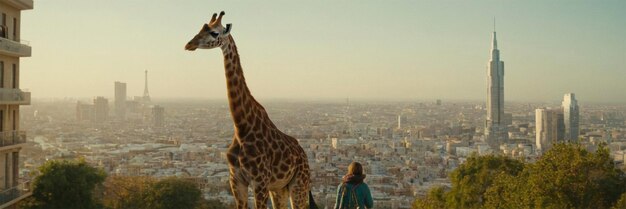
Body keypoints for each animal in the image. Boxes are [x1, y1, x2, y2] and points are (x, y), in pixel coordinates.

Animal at [182, 11, 316, 209]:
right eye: (200, 28)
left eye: (214, 33)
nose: (189, 44)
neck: (241, 127)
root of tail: (304, 154)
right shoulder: (236, 180)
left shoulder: (260, 181)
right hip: (279, 188)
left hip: (299, 183)